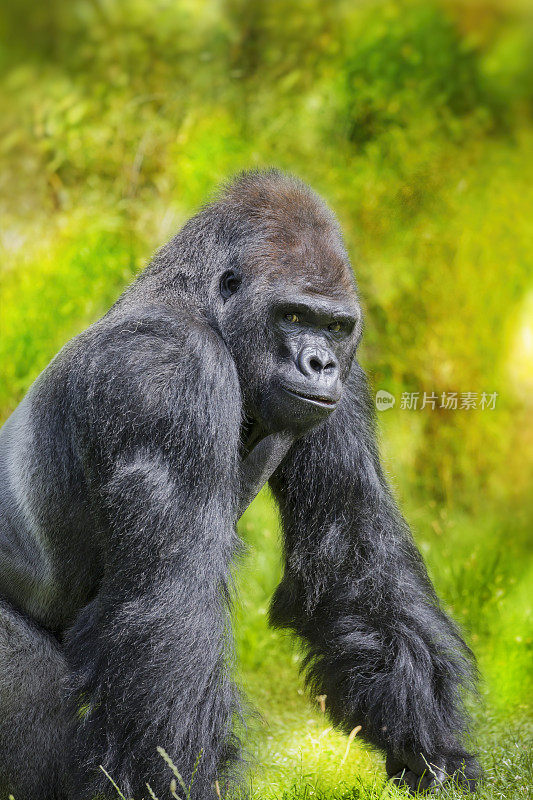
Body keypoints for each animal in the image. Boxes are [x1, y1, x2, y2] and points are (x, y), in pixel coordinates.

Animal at [0, 170, 480, 800]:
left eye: (334, 327)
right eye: (294, 317)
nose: (319, 363)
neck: (202, 307)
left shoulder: (346, 387)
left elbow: (354, 562)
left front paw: (435, 756)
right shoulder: (169, 373)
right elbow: (172, 613)